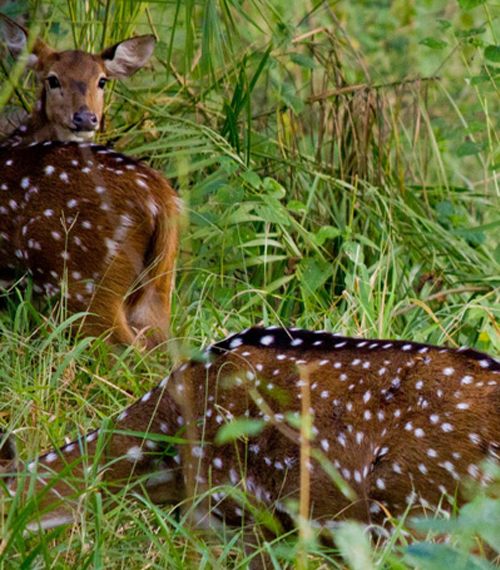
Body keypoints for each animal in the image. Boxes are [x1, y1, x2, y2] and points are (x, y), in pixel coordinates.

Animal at [0, 16, 180, 346]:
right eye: (53, 79)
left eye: (102, 81)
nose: (85, 118)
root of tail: (162, 199)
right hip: (159, 287)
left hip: (81, 280)